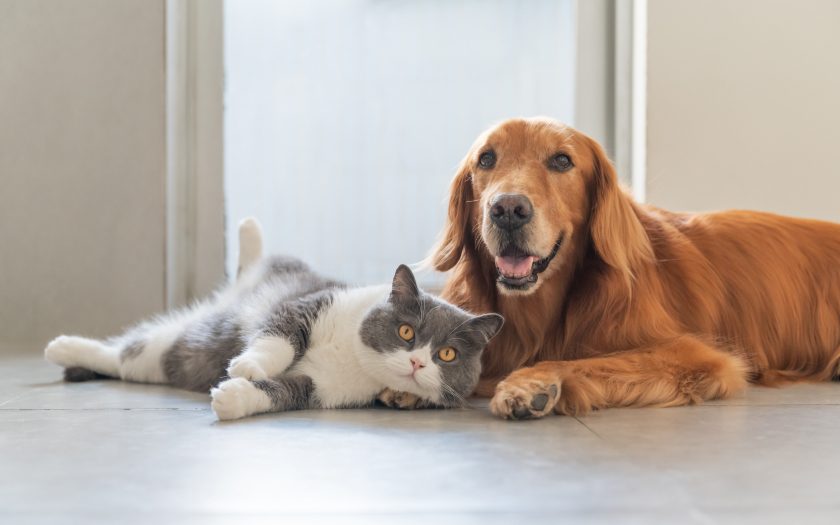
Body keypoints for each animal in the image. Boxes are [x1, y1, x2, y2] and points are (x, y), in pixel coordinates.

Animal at [42, 219, 502, 420]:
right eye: (406, 331)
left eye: (446, 355)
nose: (417, 361)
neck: (352, 356)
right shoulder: (305, 306)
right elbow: (278, 339)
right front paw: (248, 364)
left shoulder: (321, 387)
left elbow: (283, 391)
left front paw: (234, 397)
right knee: (118, 354)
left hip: (163, 361)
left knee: (122, 358)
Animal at [414, 116, 840, 420]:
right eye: (486, 158)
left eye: (562, 160)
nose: (507, 210)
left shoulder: (695, 355)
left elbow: (581, 361)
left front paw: (530, 383)